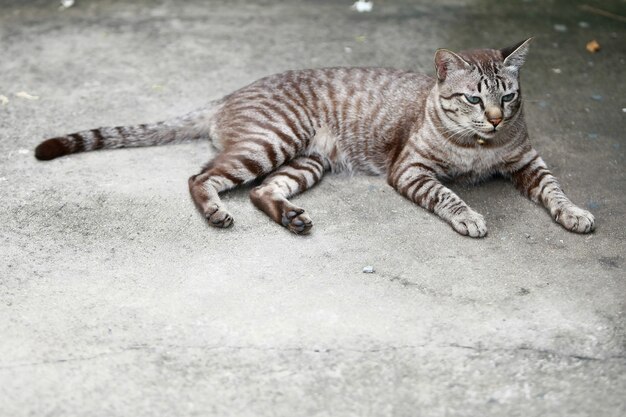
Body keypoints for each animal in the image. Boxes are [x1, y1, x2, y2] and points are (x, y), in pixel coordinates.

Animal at [35, 39, 596, 237]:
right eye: (474, 100)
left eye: (508, 96)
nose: (497, 119)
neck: (482, 148)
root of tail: (227, 95)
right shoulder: (411, 170)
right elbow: (448, 195)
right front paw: (470, 215)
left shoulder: (528, 161)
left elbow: (555, 190)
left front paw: (573, 213)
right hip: (272, 142)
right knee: (200, 177)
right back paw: (216, 212)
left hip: (306, 162)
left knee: (262, 191)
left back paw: (291, 218)